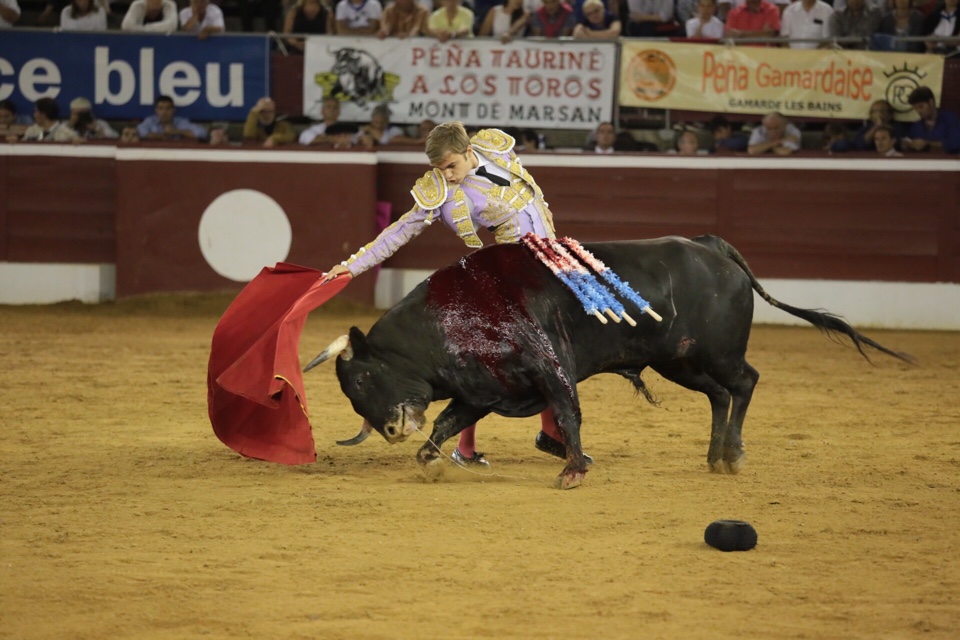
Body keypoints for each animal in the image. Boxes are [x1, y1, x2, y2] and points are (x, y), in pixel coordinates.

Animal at [308, 236, 916, 490]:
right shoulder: (483, 391)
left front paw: (573, 468)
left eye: (360, 376)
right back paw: (716, 454)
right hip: (680, 361)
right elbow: (444, 423)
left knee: (745, 382)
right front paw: (429, 460)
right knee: (721, 394)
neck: (451, 318)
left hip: (717, 352)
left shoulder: (549, 366)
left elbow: (568, 412)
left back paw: (735, 454)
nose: (389, 429)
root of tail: (712, 246)